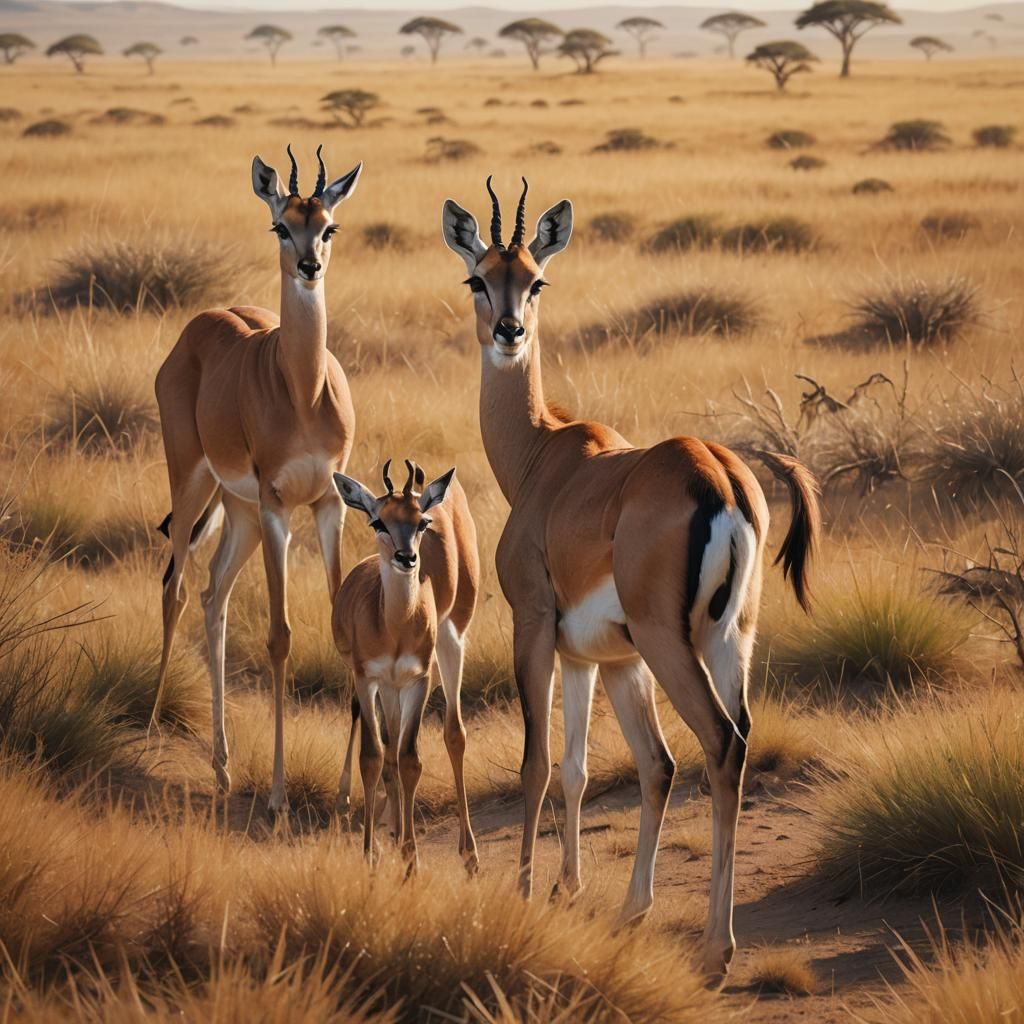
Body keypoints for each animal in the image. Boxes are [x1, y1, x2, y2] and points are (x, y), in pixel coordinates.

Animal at [152, 145, 362, 814]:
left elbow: (342, 622)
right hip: (193, 483)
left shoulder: (328, 503)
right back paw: (151, 727)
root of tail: (199, 325)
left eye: (328, 225)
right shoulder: (278, 506)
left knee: (213, 592)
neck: (303, 392)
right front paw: (276, 796)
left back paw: (221, 768)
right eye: (281, 225)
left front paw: (346, 791)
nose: (309, 266)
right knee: (175, 586)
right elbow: (279, 636)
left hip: (236, 509)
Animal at [332, 459, 479, 871]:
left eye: (421, 521)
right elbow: (373, 757)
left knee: (449, 735)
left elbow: (410, 758)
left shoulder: (418, 679)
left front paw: (411, 861)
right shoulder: (367, 678)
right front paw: (371, 854)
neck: (393, 625)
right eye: (378, 522)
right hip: (386, 686)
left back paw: (467, 852)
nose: (407, 558)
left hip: (445, 647)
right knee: (388, 749)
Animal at [441, 178, 820, 977]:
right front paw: (583, 892)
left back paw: (718, 948)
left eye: (536, 279)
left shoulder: (534, 629)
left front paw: (525, 892)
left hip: (671, 646)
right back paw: (669, 923)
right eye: (478, 278)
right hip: (727, 642)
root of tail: (720, 477)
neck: (544, 459)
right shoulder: (603, 660)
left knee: (721, 744)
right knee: (717, 747)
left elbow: (536, 763)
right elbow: (607, 768)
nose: (509, 332)